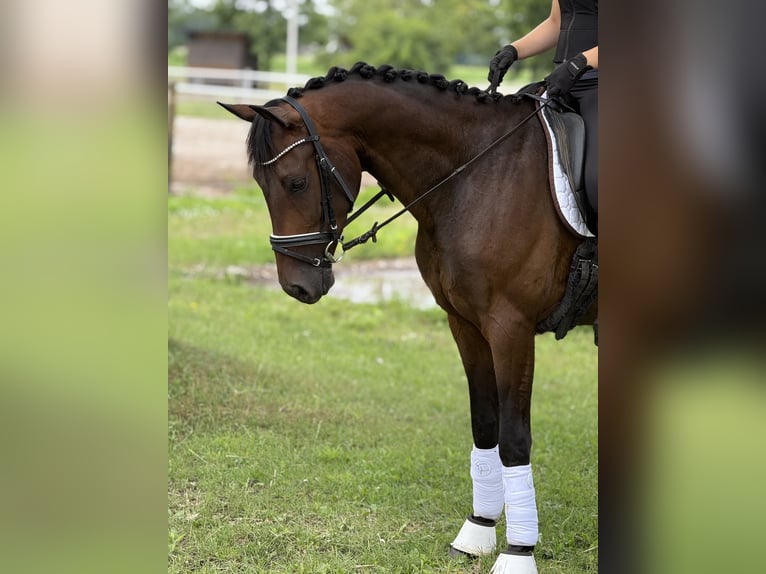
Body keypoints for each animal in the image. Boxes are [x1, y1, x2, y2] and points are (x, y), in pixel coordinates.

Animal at [220, 62, 597, 574]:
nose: (296, 286)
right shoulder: (465, 323)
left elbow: (515, 438)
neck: (475, 174)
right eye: (261, 186)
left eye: (296, 182)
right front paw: (477, 532)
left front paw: (517, 553)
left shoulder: (510, 327)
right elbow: (485, 424)